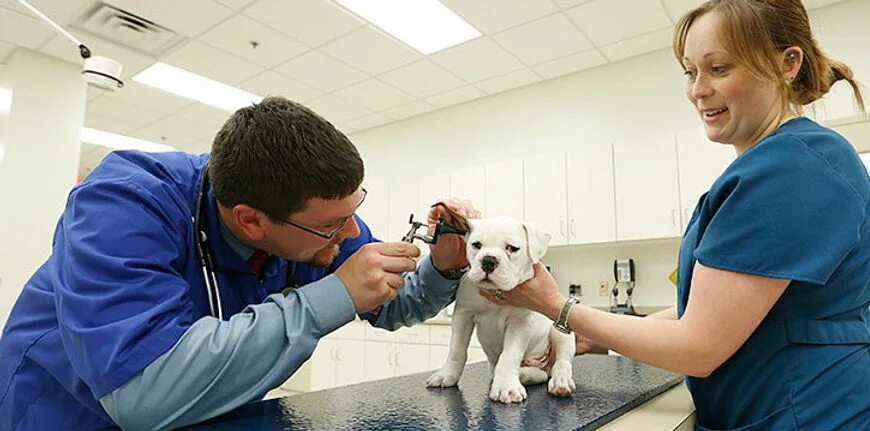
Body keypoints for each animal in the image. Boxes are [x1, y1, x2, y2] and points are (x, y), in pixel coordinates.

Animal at [426, 219, 576, 404]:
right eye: (476, 245)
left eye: (512, 248)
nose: (488, 260)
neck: (496, 293)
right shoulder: (463, 315)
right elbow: (456, 349)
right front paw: (447, 374)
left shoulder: (520, 323)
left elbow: (510, 355)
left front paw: (506, 386)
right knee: (539, 374)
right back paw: (524, 374)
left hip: (561, 332)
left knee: (561, 362)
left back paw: (560, 381)